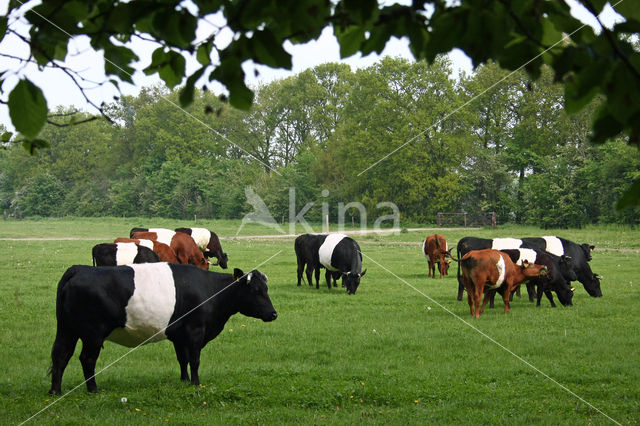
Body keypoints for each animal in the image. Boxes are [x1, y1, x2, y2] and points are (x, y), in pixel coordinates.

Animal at [48, 262, 278, 396]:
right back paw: (93, 390)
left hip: (66, 329)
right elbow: (195, 359)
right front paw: (196, 383)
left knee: (60, 354)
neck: (210, 291)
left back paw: (55, 391)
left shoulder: (179, 335)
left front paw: (184, 381)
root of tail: (80, 269)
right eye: (256, 291)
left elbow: (182, 359)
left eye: (266, 289)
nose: (274, 314)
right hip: (93, 333)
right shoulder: (195, 330)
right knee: (87, 359)